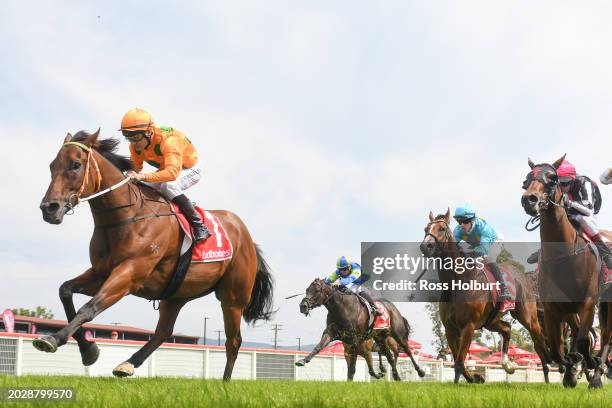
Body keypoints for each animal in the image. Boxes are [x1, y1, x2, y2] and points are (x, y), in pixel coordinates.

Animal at [34, 121, 272, 380]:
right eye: (51, 166)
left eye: (75, 165)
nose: (49, 208)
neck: (126, 216)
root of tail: (246, 236)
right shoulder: (100, 272)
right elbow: (65, 291)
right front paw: (88, 351)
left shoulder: (130, 274)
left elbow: (89, 308)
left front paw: (55, 339)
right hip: (177, 293)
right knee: (163, 332)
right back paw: (127, 364)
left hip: (233, 298)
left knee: (233, 341)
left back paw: (225, 383)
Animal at [420, 209, 548, 384]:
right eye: (426, 229)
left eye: (442, 229)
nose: (425, 246)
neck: (459, 281)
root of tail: (524, 277)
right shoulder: (449, 329)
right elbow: (458, 361)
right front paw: (475, 377)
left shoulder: (469, 326)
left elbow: (459, 362)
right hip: (491, 321)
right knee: (507, 328)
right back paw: (507, 364)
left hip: (528, 317)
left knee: (539, 342)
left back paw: (551, 372)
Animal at [520, 156, 612, 388]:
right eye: (527, 180)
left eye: (552, 179)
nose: (529, 200)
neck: (564, 257)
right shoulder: (553, 308)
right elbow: (555, 348)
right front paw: (570, 369)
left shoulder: (588, 302)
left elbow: (583, 340)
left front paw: (586, 361)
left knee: (606, 337)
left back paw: (596, 376)